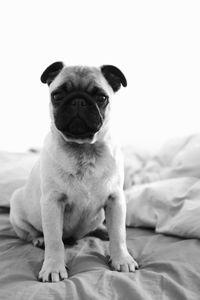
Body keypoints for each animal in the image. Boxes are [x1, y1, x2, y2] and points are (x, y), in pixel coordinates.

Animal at [9, 62, 138, 282]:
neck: (83, 150)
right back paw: (38, 239)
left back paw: (103, 231)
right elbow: (54, 241)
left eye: (101, 98)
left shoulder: (115, 200)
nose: (78, 101)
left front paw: (122, 259)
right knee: (31, 233)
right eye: (57, 95)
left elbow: (119, 234)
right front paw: (53, 267)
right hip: (17, 208)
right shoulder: (52, 204)